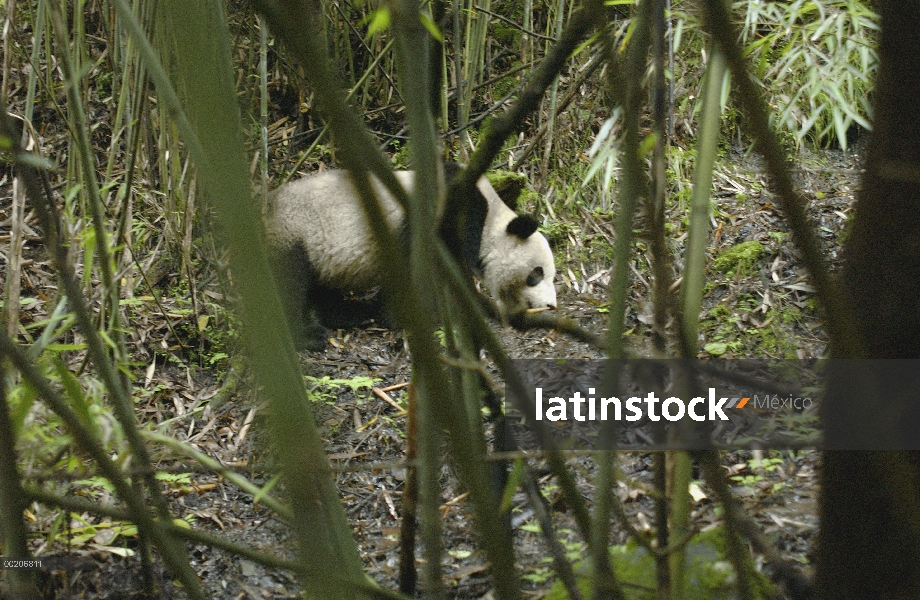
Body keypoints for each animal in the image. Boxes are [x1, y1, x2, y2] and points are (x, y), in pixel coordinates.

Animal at [262, 163, 556, 352]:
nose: (551, 305)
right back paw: (308, 336)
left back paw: (349, 315)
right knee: (287, 284)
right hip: (290, 232)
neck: (490, 220)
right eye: (536, 274)